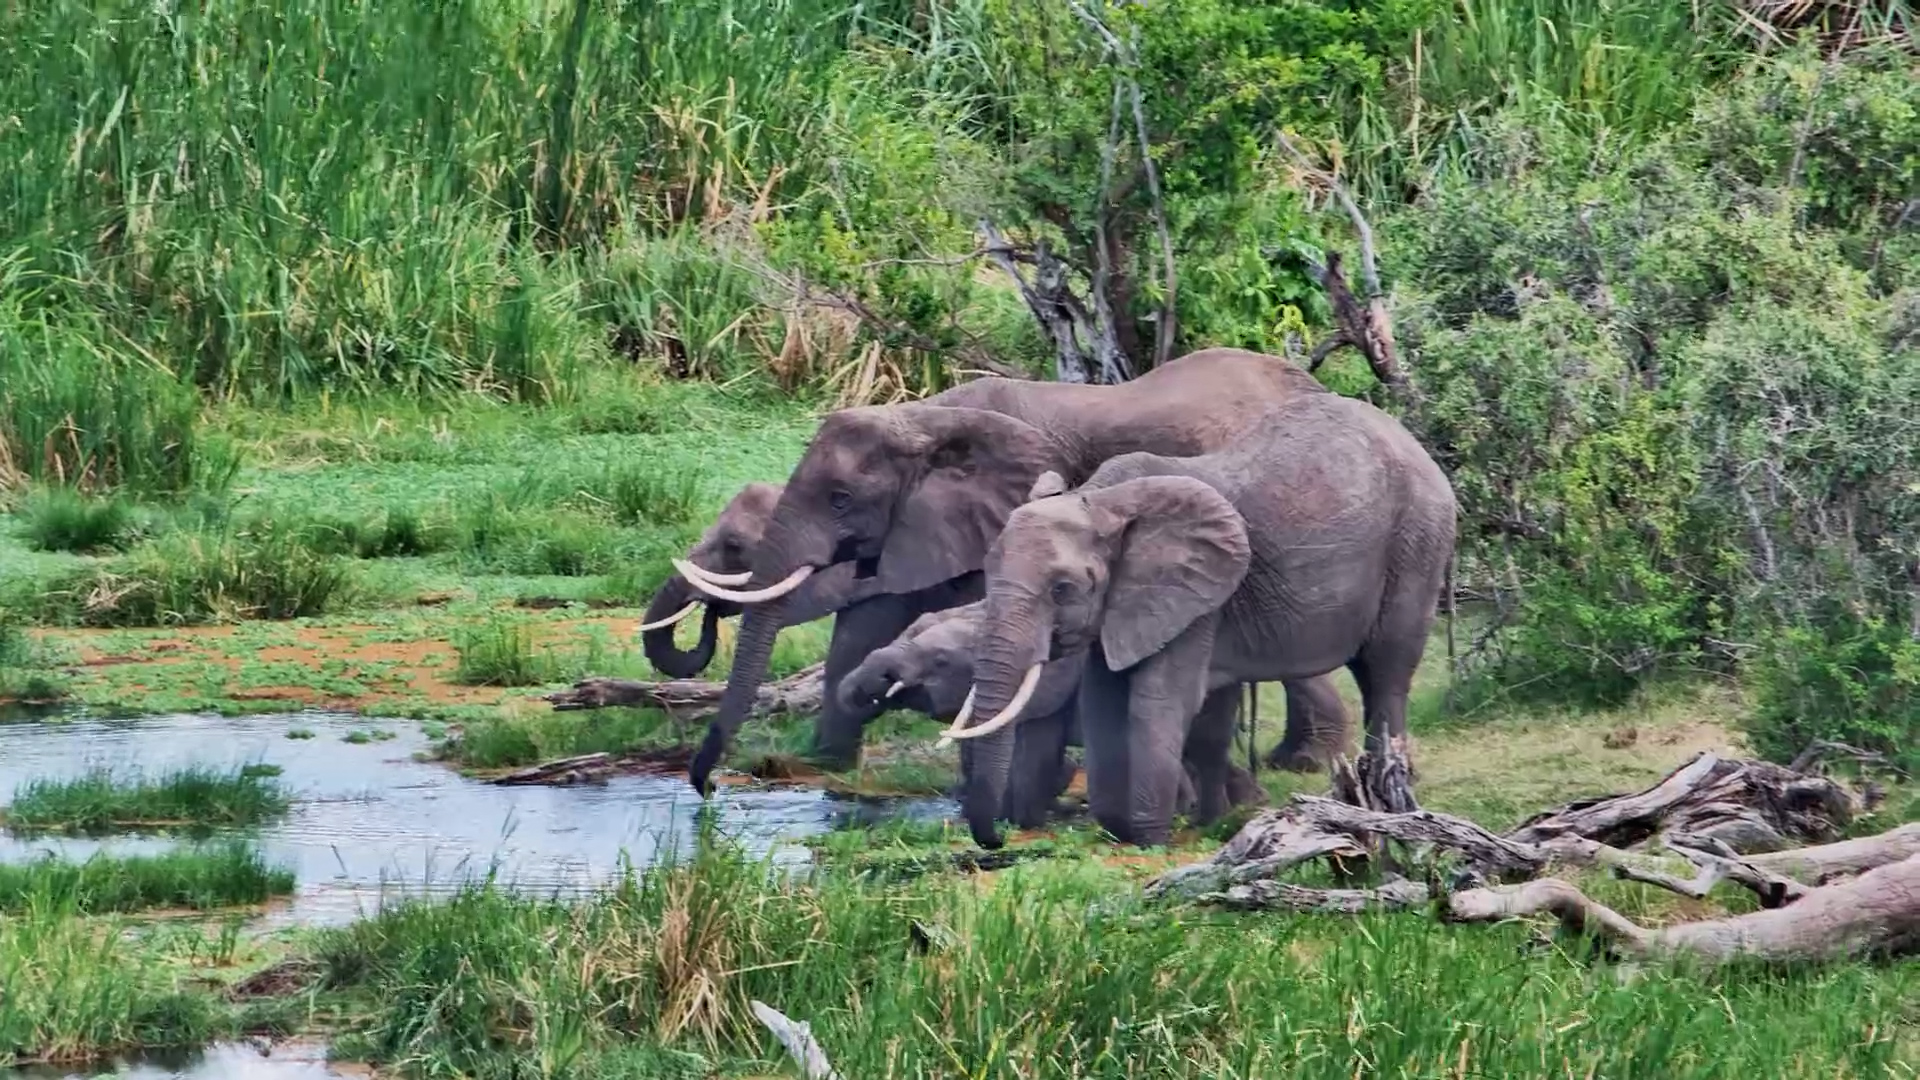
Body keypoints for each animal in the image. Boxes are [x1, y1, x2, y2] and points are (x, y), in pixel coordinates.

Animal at [675, 347, 1336, 795]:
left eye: (840, 499)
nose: (706, 788)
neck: (920, 420)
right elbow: (865, 625)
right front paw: (826, 764)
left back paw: (1308, 763)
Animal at [940, 389, 1457, 849]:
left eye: (1063, 588)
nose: (995, 841)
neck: (1103, 500)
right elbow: (1104, 702)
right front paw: (1120, 830)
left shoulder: (1189, 597)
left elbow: (1156, 703)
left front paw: (1149, 839)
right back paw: (1221, 818)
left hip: (1419, 540)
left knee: (1387, 670)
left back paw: (1391, 796)